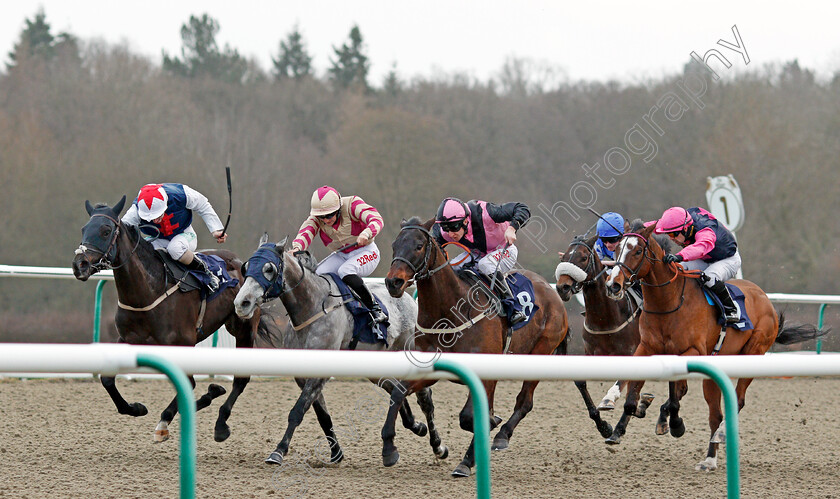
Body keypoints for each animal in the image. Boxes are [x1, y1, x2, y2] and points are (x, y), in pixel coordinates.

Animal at [75, 197, 268, 444]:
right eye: (84, 229)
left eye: (106, 230)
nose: (79, 264)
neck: (149, 290)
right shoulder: (128, 338)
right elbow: (107, 380)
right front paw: (136, 408)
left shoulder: (182, 342)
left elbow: (188, 383)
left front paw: (163, 423)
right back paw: (210, 395)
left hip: (244, 327)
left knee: (240, 379)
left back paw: (220, 424)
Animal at [233, 236, 450, 466]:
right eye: (247, 266)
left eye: (269, 269)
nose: (241, 303)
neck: (312, 308)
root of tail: (410, 299)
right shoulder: (303, 374)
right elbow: (321, 415)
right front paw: (336, 452)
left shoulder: (319, 372)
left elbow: (298, 411)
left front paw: (279, 450)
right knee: (395, 387)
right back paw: (416, 426)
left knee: (425, 399)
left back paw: (438, 446)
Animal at [556, 234, 652, 438]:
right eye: (564, 257)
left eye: (584, 257)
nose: (562, 288)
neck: (605, 318)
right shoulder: (591, 353)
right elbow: (580, 383)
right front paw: (604, 427)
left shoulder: (632, 353)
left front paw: (612, 410)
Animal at [604, 216, 828, 472]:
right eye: (617, 249)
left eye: (638, 251)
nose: (613, 285)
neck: (669, 302)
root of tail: (766, 300)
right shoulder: (647, 348)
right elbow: (637, 390)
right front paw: (618, 424)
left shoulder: (693, 351)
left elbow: (675, 393)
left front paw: (675, 424)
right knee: (715, 414)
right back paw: (709, 457)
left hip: (753, 352)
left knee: (736, 402)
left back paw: (718, 437)